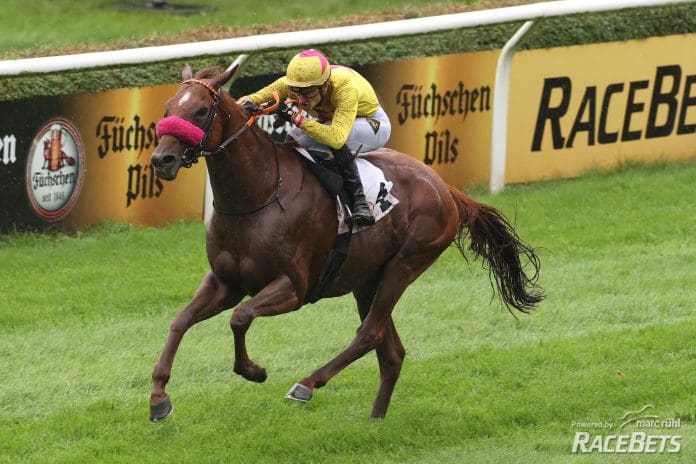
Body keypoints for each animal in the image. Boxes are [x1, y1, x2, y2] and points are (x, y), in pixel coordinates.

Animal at [150, 62, 544, 420]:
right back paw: (375, 420)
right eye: (167, 108)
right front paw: (158, 397)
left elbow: (240, 317)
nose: (161, 160)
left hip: (405, 264)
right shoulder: (225, 282)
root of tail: (445, 188)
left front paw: (253, 370)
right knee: (390, 350)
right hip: (367, 279)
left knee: (369, 333)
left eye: (201, 110)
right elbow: (180, 320)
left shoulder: (293, 288)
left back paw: (307, 384)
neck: (257, 195)